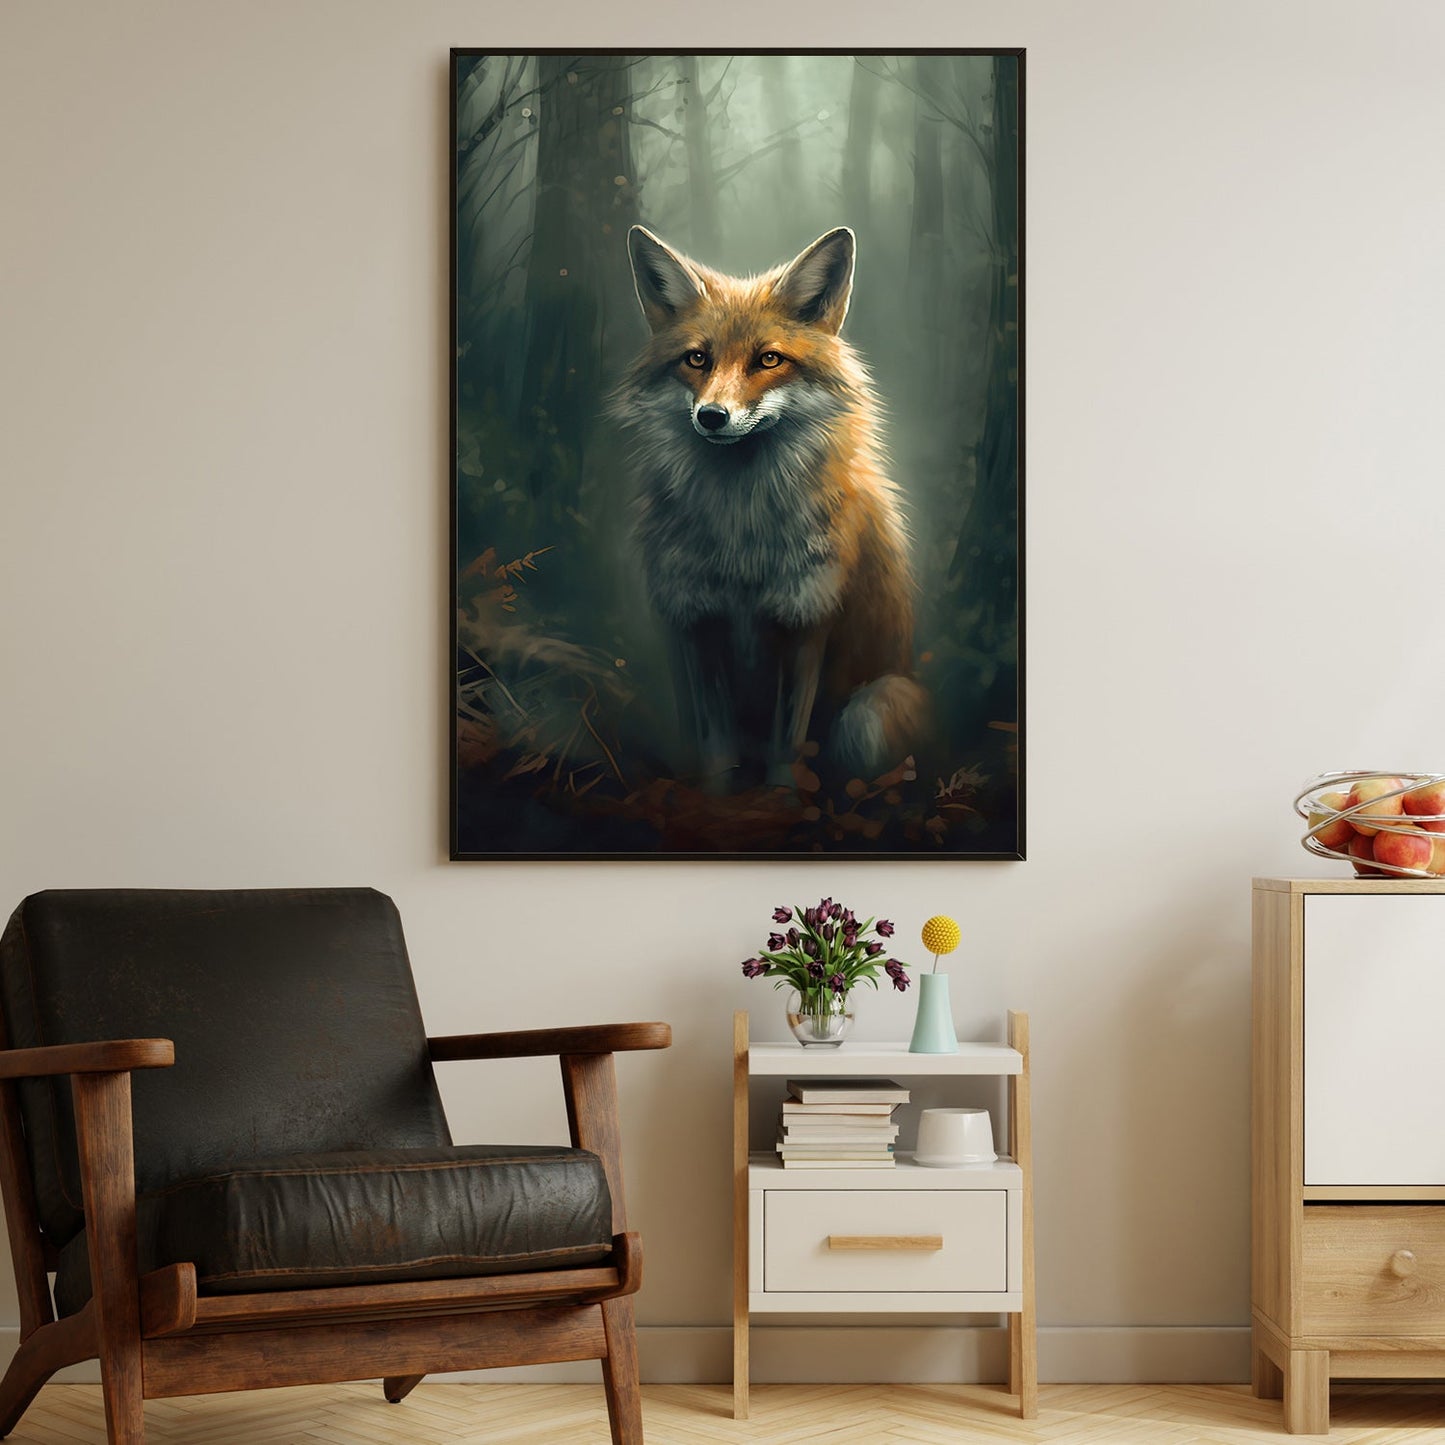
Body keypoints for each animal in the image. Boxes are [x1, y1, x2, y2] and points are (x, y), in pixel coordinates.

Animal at [610, 223, 929, 792]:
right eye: (697, 359)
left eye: (769, 359)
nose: (712, 416)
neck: (741, 539)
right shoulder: (696, 621)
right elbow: (717, 753)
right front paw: (719, 797)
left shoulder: (806, 619)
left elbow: (787, 751)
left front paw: (781, 799)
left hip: (871, 711)